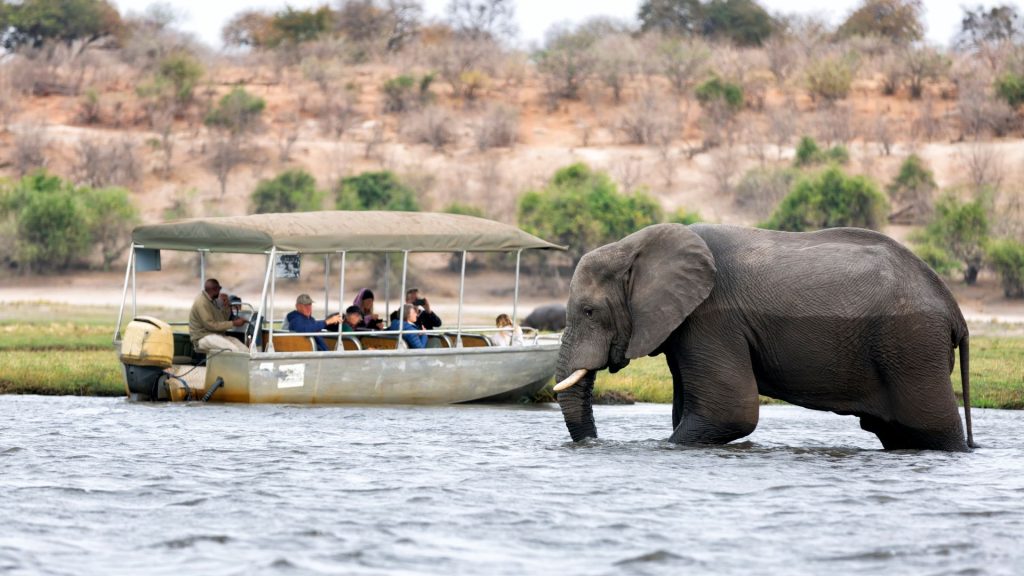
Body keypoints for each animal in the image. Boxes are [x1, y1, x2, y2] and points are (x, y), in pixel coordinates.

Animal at [553, 223, 974, 451]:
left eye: (589, 311)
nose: (592, 444)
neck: (635, 246)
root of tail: (954, 310)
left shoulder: (711, 319)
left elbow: (730, 413)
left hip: (912, 344)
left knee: (933, 428)